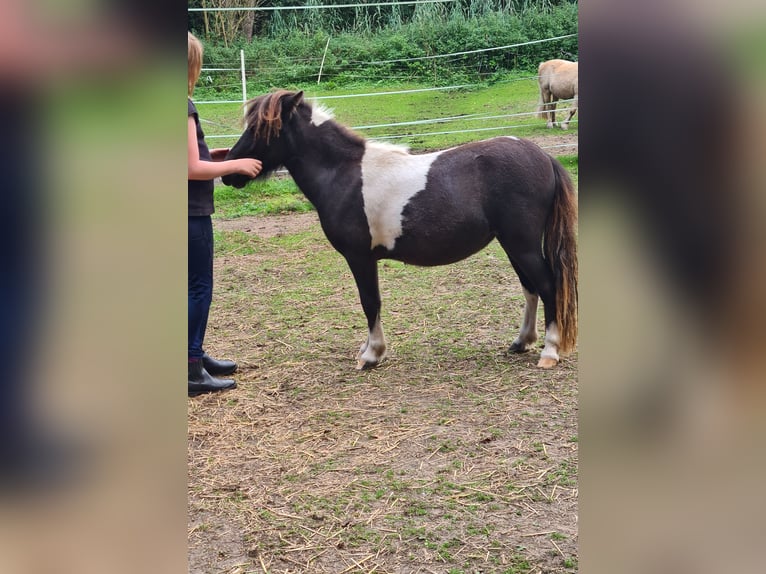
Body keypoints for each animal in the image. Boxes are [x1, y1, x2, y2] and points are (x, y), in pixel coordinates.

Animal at [225, 90, 580, 368]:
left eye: (261, 127)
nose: (230, 172)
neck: (344, 173)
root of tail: (543, 156)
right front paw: (367, 350)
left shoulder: (359, 257)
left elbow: (370, 302)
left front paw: (372, 355)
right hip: (512, 244)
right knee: (530, 287)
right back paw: (521, 342)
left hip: (523, 244)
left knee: (547, 285)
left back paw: (549, 351)